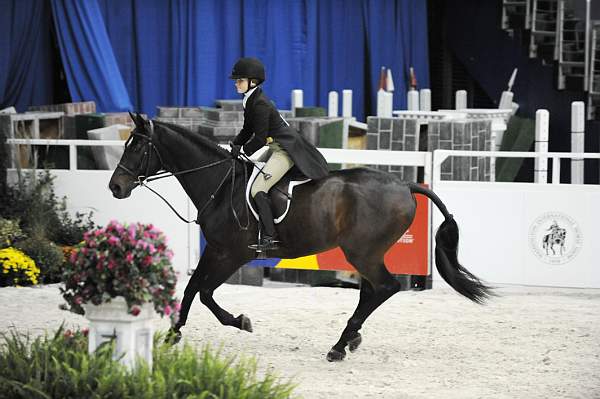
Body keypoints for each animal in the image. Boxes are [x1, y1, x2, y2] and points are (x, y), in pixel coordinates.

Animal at [109, 113, 492, 362]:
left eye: (136, 148)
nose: (115, 187)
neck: (219, 182)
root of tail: (405, 185)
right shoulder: (216, 250)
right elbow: (191, 289)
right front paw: (172, 334)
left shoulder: (232, 253)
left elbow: (204, 293)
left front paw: (240, 322)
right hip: (365, 253)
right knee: (370, 291)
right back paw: (351, 339)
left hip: (362, 252)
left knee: (385, 287)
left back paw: (339, 345)